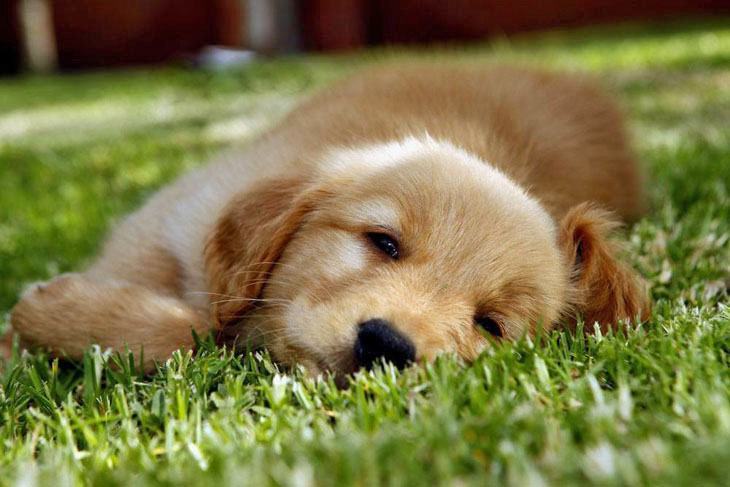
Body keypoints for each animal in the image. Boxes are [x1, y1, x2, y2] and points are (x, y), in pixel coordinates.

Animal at [2, 65, 648, 376]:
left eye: (489, 325)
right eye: (383, 242)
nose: (385, 346)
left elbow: (200, 334)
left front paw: (52, 314)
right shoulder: (172, 216)